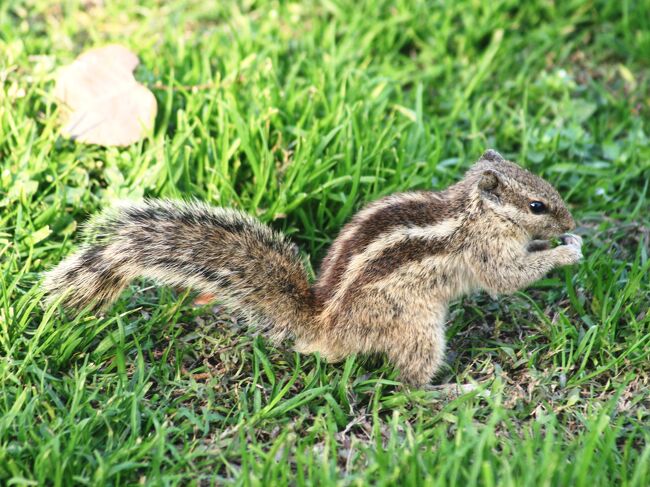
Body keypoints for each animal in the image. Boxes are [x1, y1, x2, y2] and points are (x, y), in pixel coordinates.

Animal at [44, 151, 584, 386]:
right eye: (537, 205)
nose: (571, 220)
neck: (475, 210)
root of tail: (326, 325)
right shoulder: (484, 250)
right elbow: (506, 280)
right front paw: (567, 251)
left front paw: (567, 242)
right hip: (415, 326)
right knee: (407, 385)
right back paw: (452, 391)